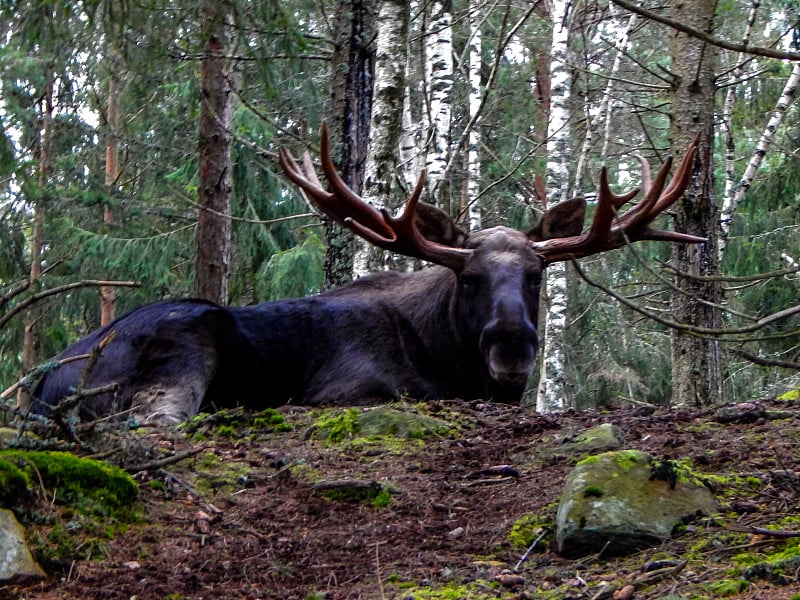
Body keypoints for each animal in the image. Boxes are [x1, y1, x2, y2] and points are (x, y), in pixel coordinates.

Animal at [34, 126, 704, 426]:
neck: (447, 353)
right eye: (468, 279)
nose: (512, 348)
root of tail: (43, 387)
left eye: (538, 274)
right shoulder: (352, 390)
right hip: (184, 344)